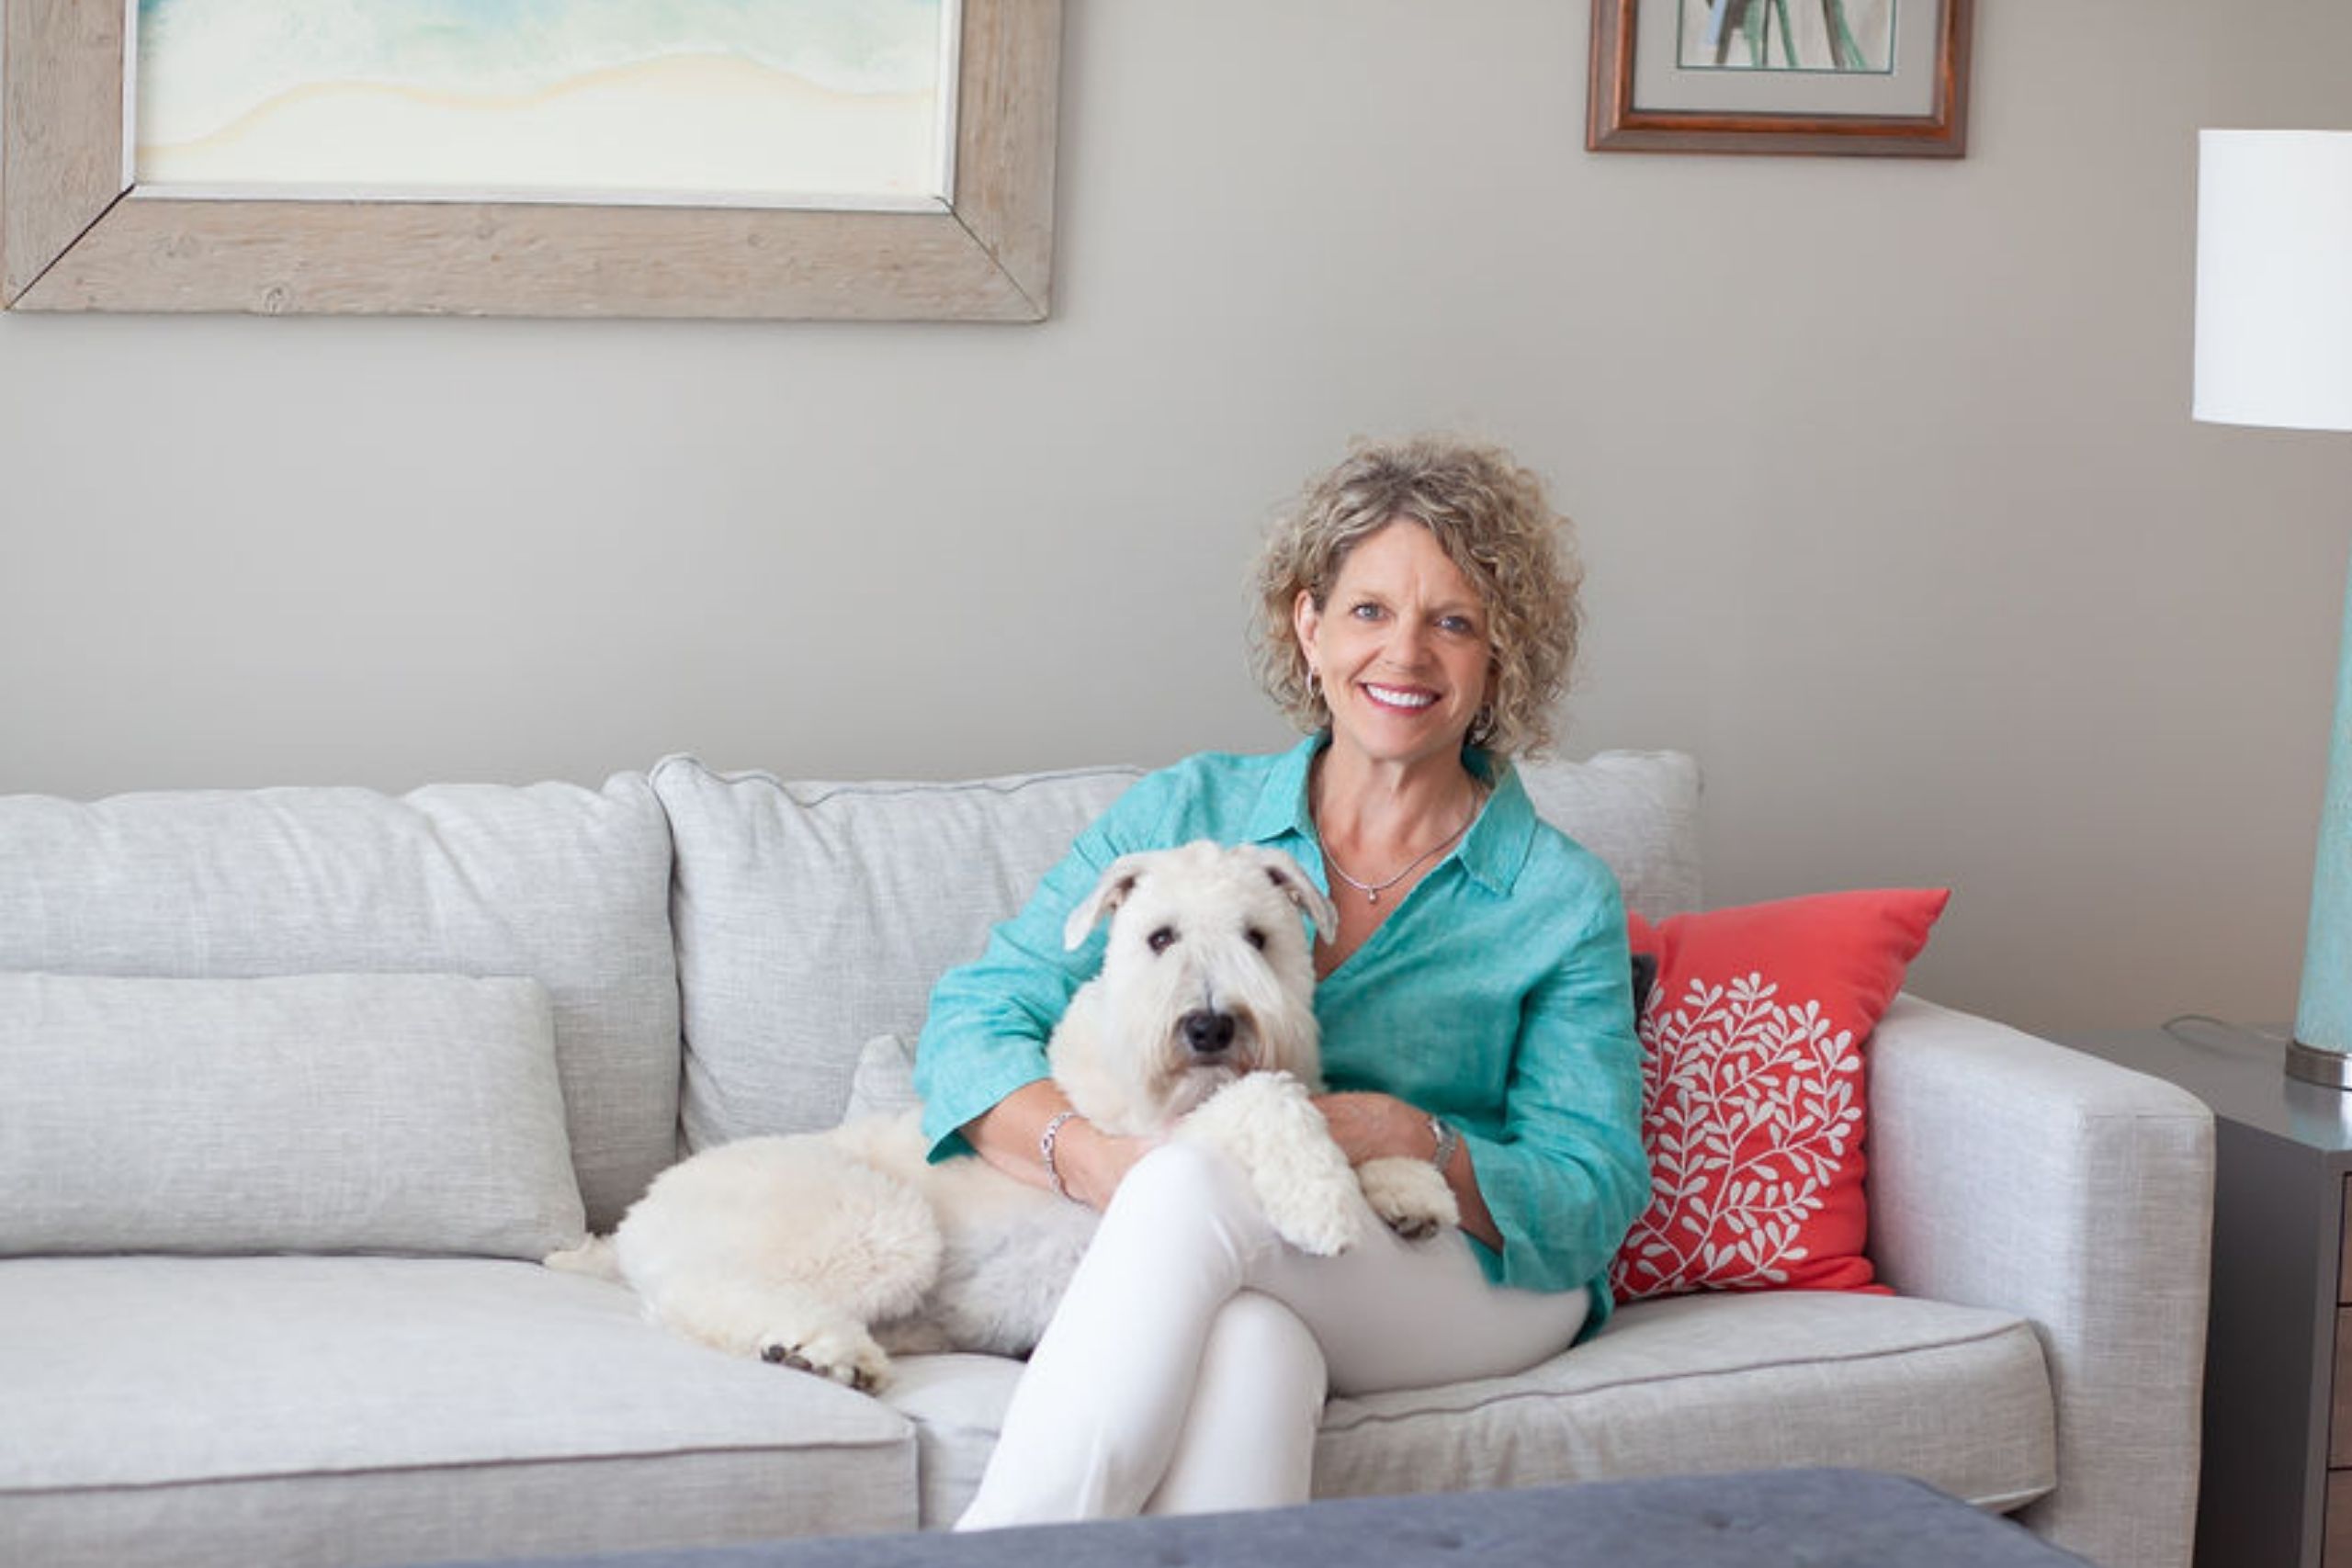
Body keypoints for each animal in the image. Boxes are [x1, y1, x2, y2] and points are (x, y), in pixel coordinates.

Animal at [550, 841, 1448, 1392]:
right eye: (1159, 935)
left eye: (1259, 936)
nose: (1209, 1026)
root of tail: (634, 1220)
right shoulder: (1152, 1142)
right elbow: (1271, 1100)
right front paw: (1324, 1199)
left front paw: (1412, 1189)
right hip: (876, 1223)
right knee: (704, 1295)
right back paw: (817, 1350)